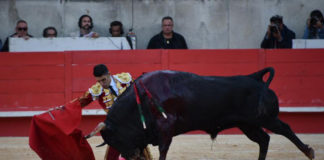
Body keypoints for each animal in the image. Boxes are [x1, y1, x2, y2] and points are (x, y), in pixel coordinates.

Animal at [87, 67, 316, 160]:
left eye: (115, 137)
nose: (131, 155)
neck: (141, 99)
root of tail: (255, 77)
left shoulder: (165, 128)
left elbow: (163, 150)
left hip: (266, 118)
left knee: (284, 129)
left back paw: (309, 152)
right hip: (247, 125)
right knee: (264, 139)